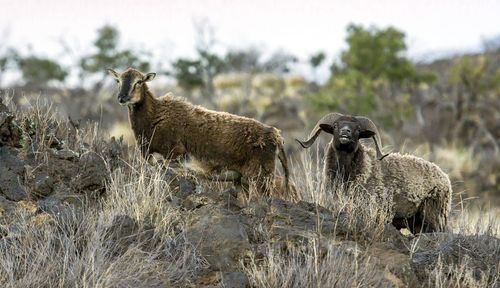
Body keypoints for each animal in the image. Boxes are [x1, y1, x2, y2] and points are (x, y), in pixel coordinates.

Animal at [108, 68, 290, 195]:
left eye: (139, 81)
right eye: (118, 80)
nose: (122, 98)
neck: (155, 116)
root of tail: (277, 137)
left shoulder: (173, 158)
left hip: (261, 177)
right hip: (243, 180)